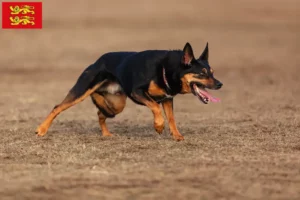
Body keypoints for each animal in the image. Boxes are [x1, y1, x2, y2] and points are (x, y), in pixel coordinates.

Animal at [35, 42, 223, 141]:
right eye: (202, 73)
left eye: (212, 72)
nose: (220, 84)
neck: (166, 70)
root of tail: (97, 61)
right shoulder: (137, 92)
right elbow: (155, 108)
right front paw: (158, 126)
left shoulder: (168, 99)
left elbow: (171, 118)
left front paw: (176, 136)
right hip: (82, 90)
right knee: (58, 107)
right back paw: (41, 129)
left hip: (117, 104)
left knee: (101, 113)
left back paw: (106, 133)